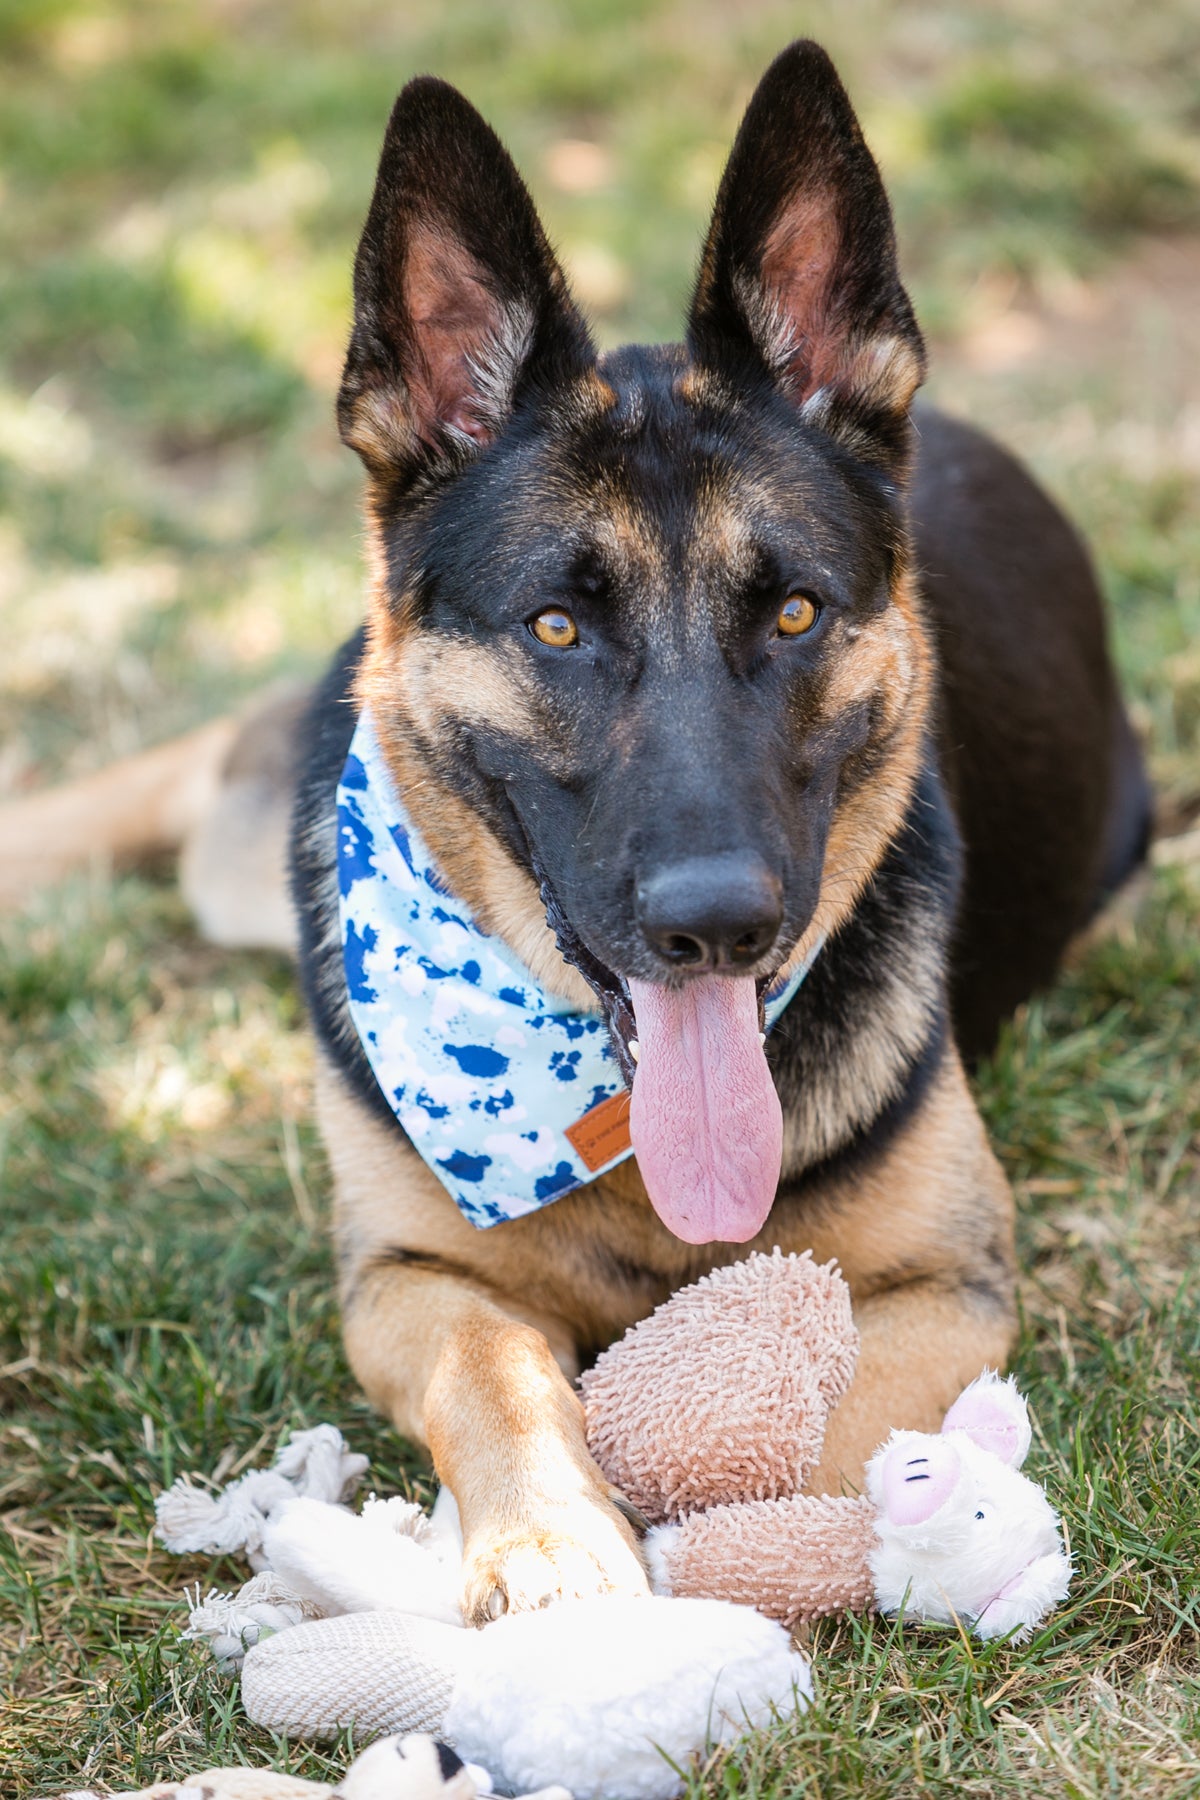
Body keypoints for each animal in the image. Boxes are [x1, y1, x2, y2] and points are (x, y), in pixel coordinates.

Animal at [0, 42, 1151, 1627]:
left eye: (795, 612)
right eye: (557, 625)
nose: (718, 926)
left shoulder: (950, 1284)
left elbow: (830, 1415)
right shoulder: (407, 1272)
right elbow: (493, 1363)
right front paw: (551, 1546)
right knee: (185, 774)